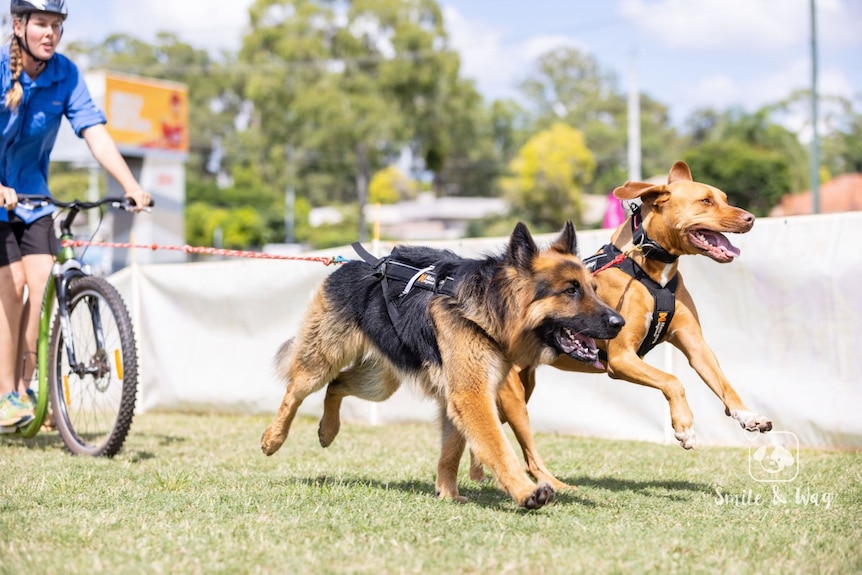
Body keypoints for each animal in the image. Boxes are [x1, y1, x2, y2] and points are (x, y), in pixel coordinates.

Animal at [260, 220, 624, 508]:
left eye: (593, 288)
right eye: (571, 291)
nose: (619, 323)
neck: (490, 310)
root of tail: (351, 265)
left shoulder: (459, 397)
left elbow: (452, 450)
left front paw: (447, 493)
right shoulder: (472, 396)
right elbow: (498, 446)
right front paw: (525, 492)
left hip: (380, 384)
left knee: (337, 385)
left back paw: (328, 429)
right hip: (321, 361)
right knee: (295, 391)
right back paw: (273, 438)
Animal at [472, 162, 776, 490]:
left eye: (724, 198)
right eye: (705, 201)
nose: (751, 218)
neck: (649, 270)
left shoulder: (695, 345)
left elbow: (723, 383)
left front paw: (748, 415)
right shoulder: (621, 358)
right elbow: (673, 381)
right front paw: (684, 427)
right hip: (515, 398)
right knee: (526, 452)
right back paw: (553, 485)